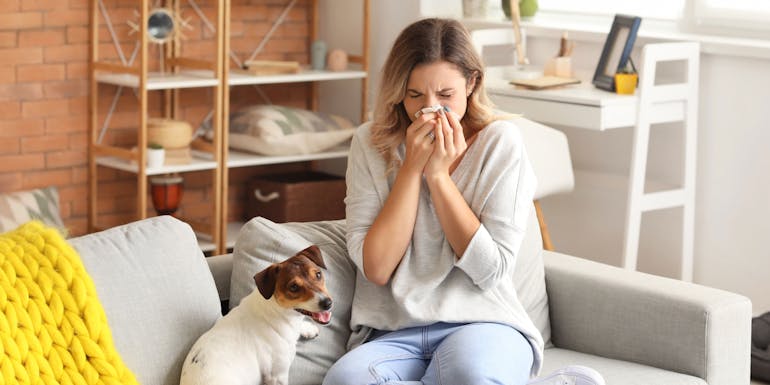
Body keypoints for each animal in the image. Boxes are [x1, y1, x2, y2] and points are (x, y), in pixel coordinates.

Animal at [183, 246, 336, 384]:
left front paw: (307, 328)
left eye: (318, 274)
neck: (277, 312)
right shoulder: (277, 376)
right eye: (294, 287)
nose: (327, 303)